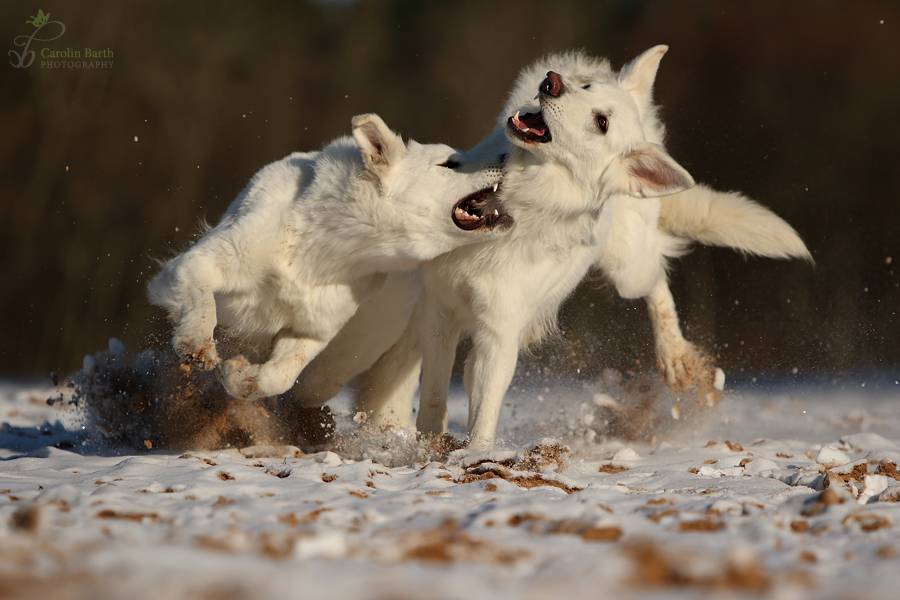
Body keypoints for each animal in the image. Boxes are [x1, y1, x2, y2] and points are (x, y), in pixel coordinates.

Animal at [150, 113, 510, 404]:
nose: (509, 154)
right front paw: (197, 343)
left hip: (343, 363)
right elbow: (202, 304)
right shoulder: (196, 264)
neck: (325, 245)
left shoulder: (311, 331)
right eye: (449, 163)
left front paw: (239, 376)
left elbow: (279, 376)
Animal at [416, 47, 816, 448]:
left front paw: (472, 456)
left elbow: (482, 419)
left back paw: (673, 354)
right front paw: (425, 446)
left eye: (602, 123)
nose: (552, 81)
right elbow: (433, 396)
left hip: (628, 270)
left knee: (656, 281)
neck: (513, 204)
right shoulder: (439, 313)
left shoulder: (497, 337)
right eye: (587, 88)